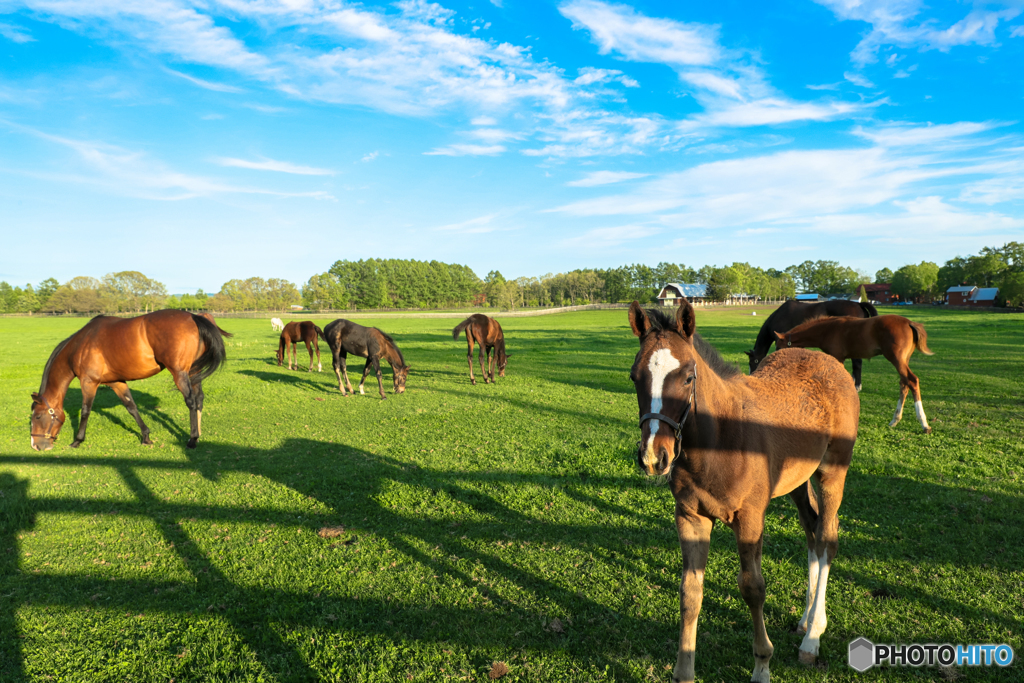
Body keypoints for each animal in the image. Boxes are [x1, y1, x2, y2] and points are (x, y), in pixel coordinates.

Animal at [29, 309, 233, 448]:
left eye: (37, 416)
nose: (36, 445)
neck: (80, 345)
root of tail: (193, 316)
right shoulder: (116, 383)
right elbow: (131, 407)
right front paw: (146, 436)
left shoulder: (89, 382)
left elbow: (85, 410)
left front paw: (77, 441)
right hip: (193, 373)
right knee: (199, 400)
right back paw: (199, 433)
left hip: (180, 374)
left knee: (191, 401)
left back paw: (192, 439)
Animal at [626, 301, 860, 683]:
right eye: (635, 377)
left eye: (688, 377)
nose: (653, 457)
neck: (720, 439)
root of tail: (827, 361)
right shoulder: (690, 516)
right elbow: (690, 592)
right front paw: (684, 671)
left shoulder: (750, 518)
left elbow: (753, 587)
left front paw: (762, 665)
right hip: (798, 480)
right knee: (812, 531)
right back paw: (805, 620)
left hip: (832, 470)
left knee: (827, 538)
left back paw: (812, 638)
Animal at [774, 313, 937, 432]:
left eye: (778, 346)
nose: (776, 358)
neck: (827, 329)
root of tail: (909, 323)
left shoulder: (837, 356)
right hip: (903, 360)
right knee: (904, 383)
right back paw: (894, 420)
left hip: (896, 358)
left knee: (912, 381)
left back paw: (924, 423)